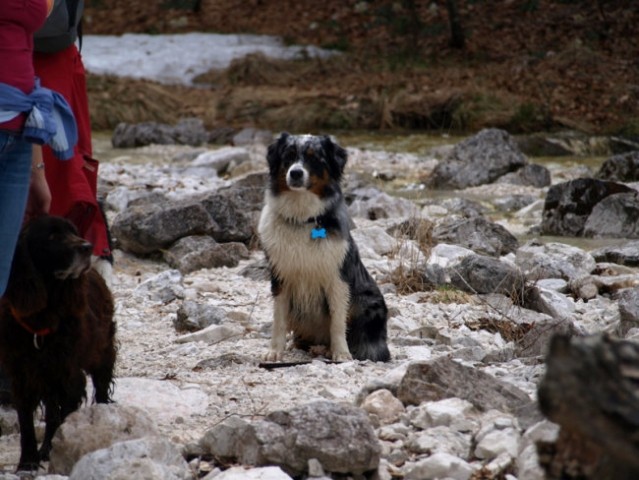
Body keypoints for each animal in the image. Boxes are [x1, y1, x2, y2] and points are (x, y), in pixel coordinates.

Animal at [0, 216, 117, 470]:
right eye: (52, 236)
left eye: (74, 232)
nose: (87, 247)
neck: (43, 318)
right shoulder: (23, 377)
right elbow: (27, 423)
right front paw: (28, 461)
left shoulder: (68, 376)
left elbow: (61, 420)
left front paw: (53, 451)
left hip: (101, 352)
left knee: (102, 387)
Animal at [258, 133, 390, 362]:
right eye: (289, 155)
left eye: (314, 158)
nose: (295, 172)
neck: (302, 219)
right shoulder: (280, 276)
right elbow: (279, 319)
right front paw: (275, 351)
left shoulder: (337, 278)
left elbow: (337, 321)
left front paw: (341, 353)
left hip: (367, 299)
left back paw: (327, 349)